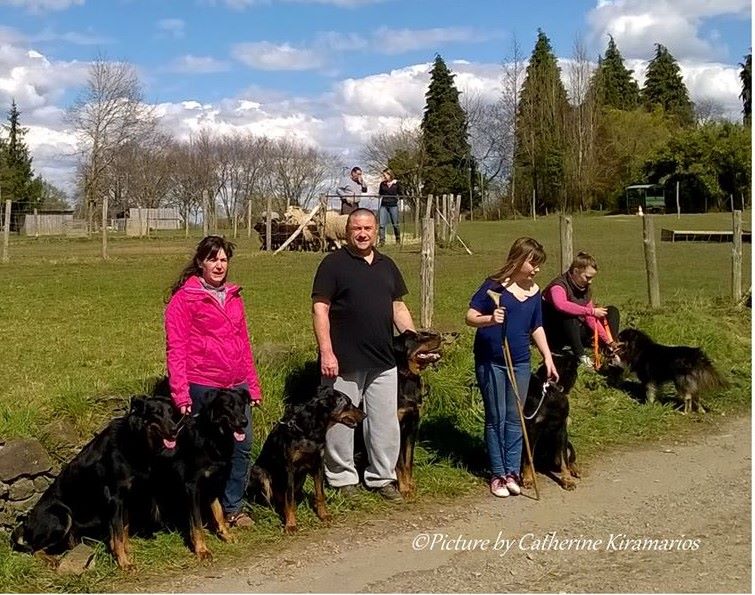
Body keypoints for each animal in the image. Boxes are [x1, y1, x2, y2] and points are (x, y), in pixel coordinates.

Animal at [11, 398, 179, 572]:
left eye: (171, 413)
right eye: (156, 413)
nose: (176, 429)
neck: (134, 440)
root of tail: (26, 523)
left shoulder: (125, 500)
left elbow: (124, 530)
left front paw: (127, 552)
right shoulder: (115, 499)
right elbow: (118, 534)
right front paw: (124, 563)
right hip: (61, 516)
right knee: (33, 549)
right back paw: (53, 561)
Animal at [248, 386, 366, 536]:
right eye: (348, 404)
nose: (365, 415)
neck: (309, 430)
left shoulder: (318, 464)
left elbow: (320, 494)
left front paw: (323, 515)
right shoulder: (289, 469)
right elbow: (289, 499)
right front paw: (291, 524)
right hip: (259, 472)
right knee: (266, 500)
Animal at [524, 356, 580, 492]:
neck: (551, 391)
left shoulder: (561, 429)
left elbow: (564, 460)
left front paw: (567, 480)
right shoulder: (532, 428)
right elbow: (528, 457)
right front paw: (528, 479)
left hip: (568, 445)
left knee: (568, 458)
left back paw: (574, 469)